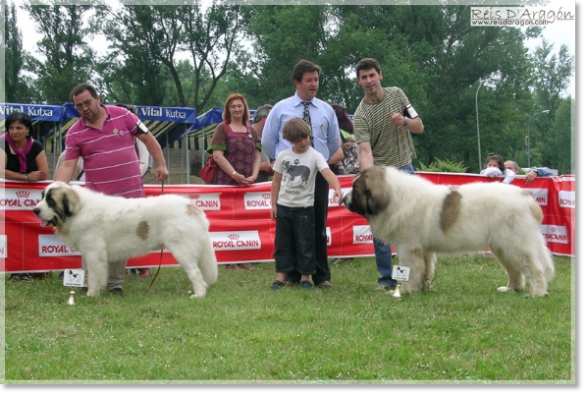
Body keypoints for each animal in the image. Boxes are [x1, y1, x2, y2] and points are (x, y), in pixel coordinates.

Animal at [33, 182, 217, 296]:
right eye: (42, 197)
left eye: (51, 201)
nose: (35, 210)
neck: (80, 209)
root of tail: (191, 206)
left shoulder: (94, 254)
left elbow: (94, 276)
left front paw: (91, 294)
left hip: (181, 249)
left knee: (195, 272)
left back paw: (198, 294)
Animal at [338, 166, 552, 296]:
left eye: (355, 190)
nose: (342, 199)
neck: (394, 197)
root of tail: (526, 197)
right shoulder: (423, 250)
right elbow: (424, 270)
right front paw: (423, 289)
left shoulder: (408, 247)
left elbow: (410, 270)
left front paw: (404, 291)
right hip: (502, 247)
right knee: (515, 270)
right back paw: (511, 289)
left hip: (516, 244)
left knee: (534, 269)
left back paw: (537, 293)